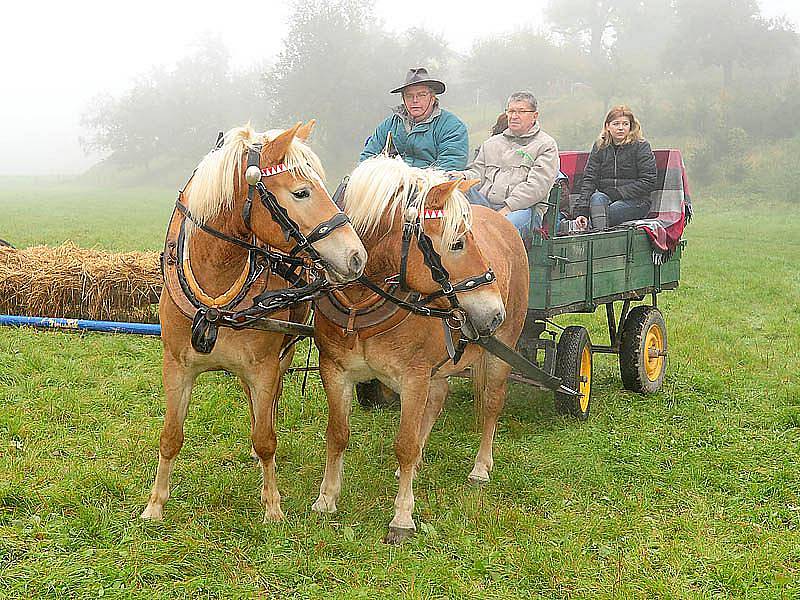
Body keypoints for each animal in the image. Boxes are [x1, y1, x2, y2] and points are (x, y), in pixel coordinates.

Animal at [142, 120, 368, 520]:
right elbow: (170, 436)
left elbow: (266, 439)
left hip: (284, 353)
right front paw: (155, 504)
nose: (356, 256)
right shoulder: (176, 366)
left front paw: (272, 506)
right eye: (301, 192)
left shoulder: (264, 365)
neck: (216, 298)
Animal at [312, 156, 532, 544]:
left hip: (501, 350)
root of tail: (505, 224)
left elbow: (404, 443)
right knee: (438, 397)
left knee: (492, 404)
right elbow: (337, 435)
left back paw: (480, 467)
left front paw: (402, 517)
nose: (494, 312)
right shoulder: (335, 370)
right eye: (457, 243)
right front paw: (327, 498)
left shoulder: (413, 376)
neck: (361, 302)